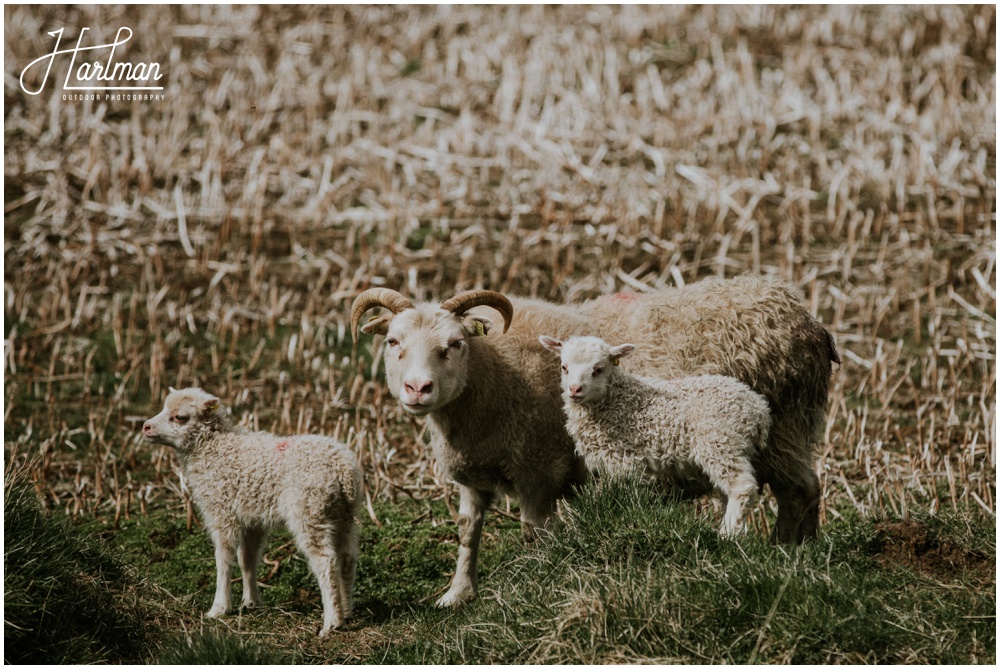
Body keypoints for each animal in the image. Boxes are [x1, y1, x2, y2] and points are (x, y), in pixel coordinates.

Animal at [139, 384, 362, 636]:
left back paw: (331, 622)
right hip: (344, 513)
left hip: (309, 510)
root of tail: (342, 468)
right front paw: (251, 602)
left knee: (325, 560)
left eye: (179, 417)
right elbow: (247, 558)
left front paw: (219, 608)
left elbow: (224, 558)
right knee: (347, 558)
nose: (146, 427)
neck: (215, 449)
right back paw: (346, 611)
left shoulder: (221, 511)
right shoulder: (252, 518)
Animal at [544, 336, 776, 536]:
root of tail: (759, 409)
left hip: (720, 441)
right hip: (733, 446)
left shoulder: (624, 458)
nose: (575, 389)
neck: (613, 400)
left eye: (598, 369)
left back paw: (727, 536)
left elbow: (625, 494)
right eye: (564, 367)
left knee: (742, 488)